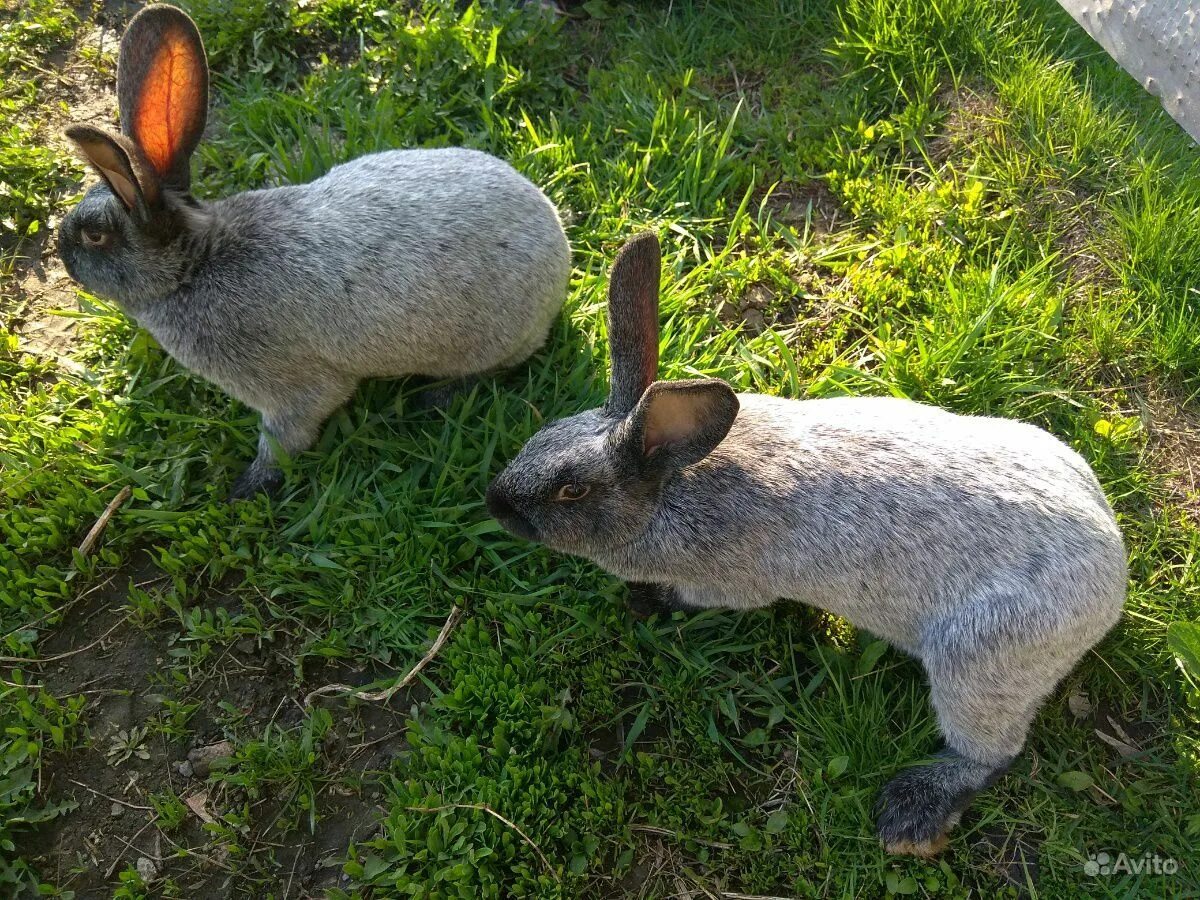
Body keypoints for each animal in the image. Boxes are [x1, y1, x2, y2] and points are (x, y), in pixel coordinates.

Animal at [58, 3, 573, 501]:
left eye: (95, 236)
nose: (64, 256)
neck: (194, 264)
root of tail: (558, 247)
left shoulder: (290, 389)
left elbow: (287, 435)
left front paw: (246, 489)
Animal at [484, 232, 1123, 859]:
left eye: (571, 489)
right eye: (541, 437)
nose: (496, 503)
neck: (668, 488)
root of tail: (1112, 577)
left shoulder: (728, 584)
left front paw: (645, 602)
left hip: (978, 661)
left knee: (991, 752)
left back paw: (910, 812)